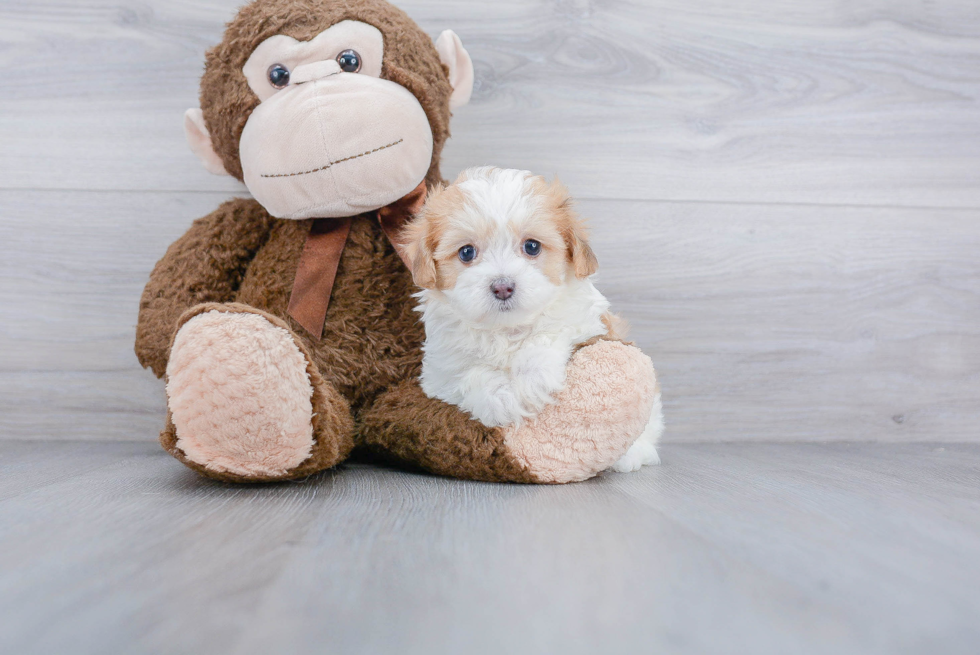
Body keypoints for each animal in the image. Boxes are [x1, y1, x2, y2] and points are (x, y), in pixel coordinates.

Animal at [402, 164, 664, 472]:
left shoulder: (586, 323)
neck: (506, 330)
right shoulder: (441, 374)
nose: (502, 287)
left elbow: (549, 334)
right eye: (466, 252)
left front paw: (530, 381)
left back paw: (635, 454)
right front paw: (502, 398)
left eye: (532, 247)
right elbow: (471, 375)